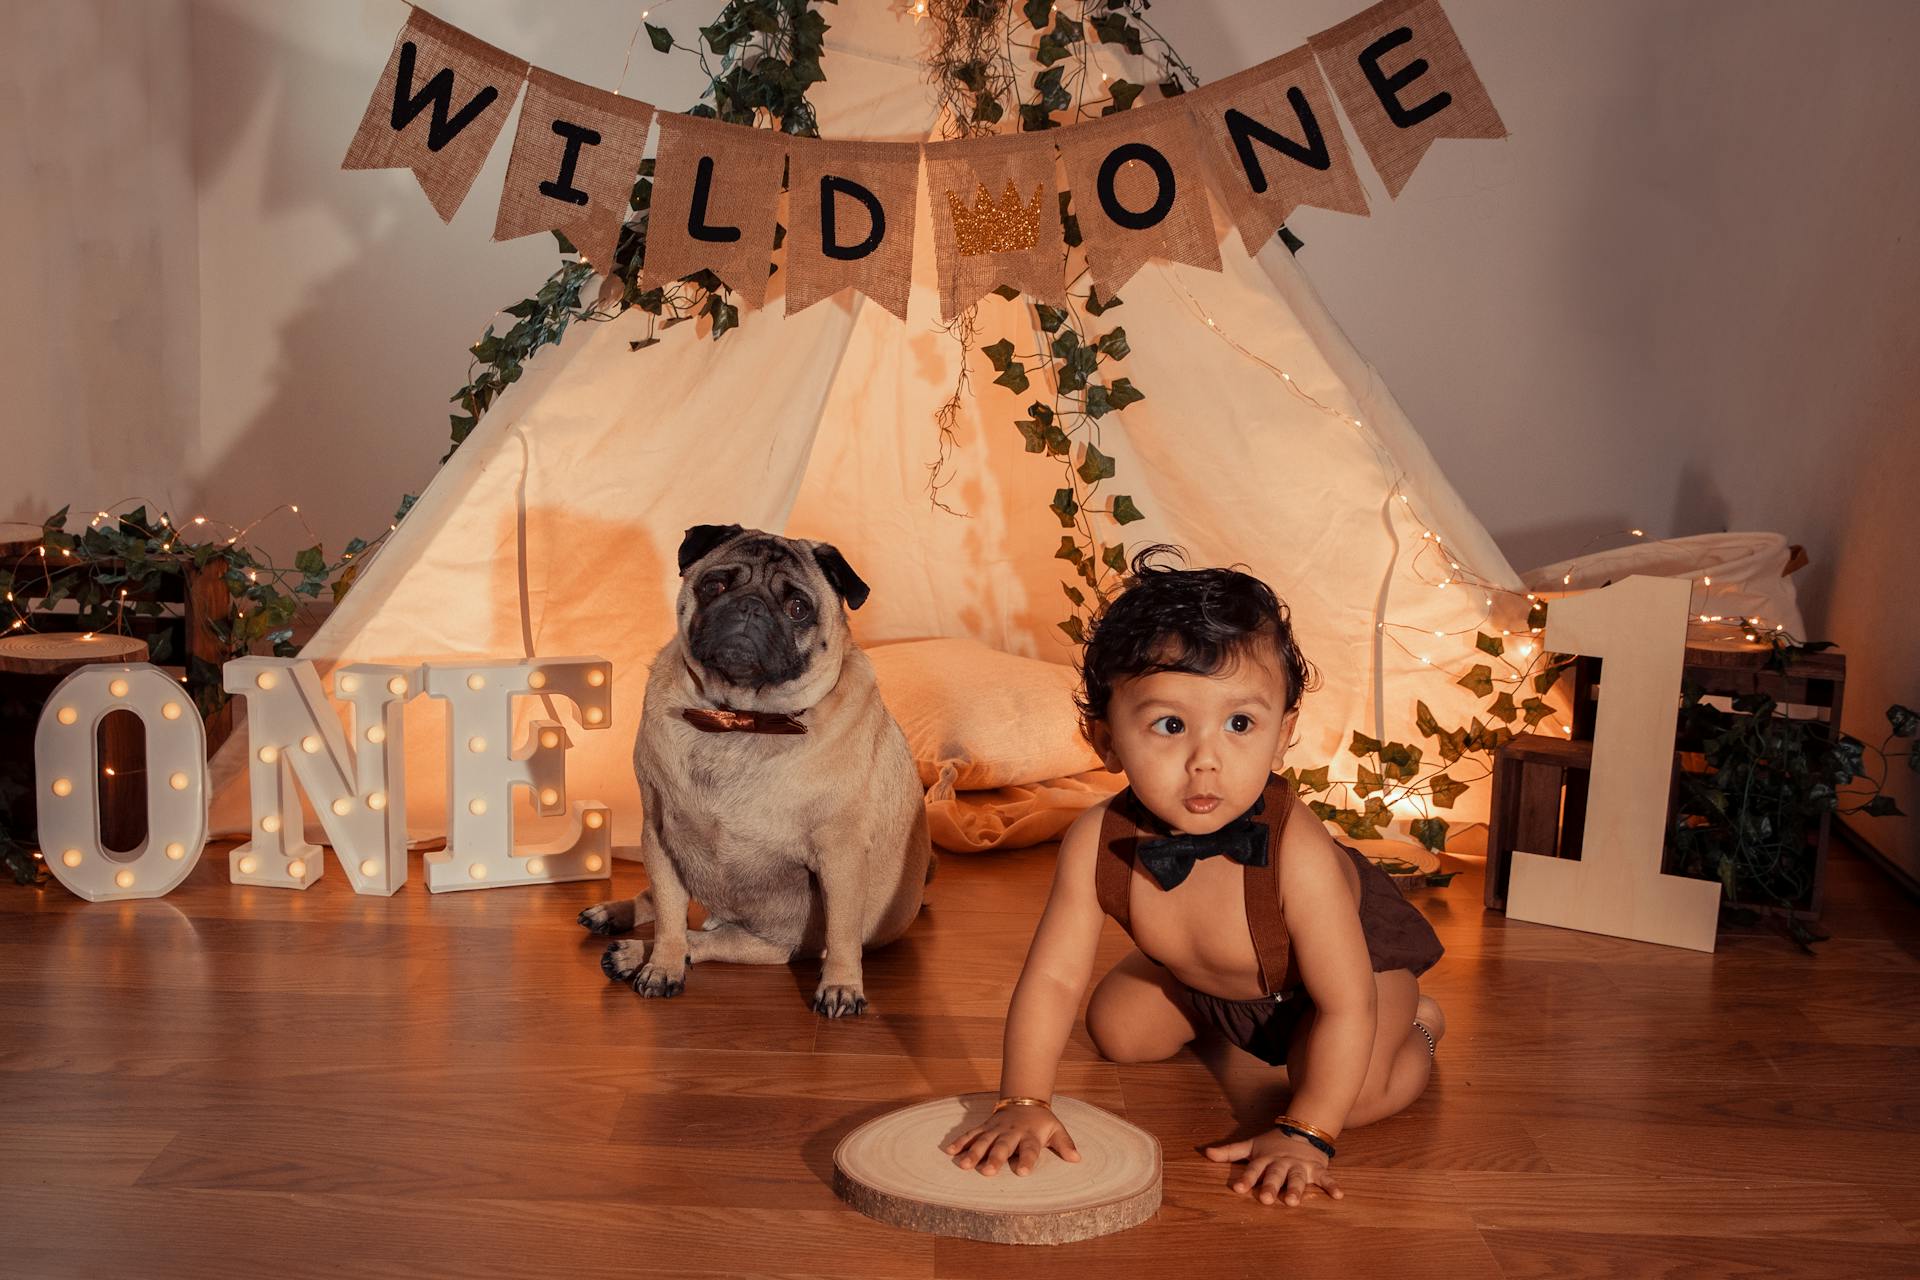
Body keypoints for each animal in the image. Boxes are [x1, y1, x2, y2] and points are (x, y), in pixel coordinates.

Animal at [579, 525, 933, 1013]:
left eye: (798, 607)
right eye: (714, 586)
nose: (750, 606)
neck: (741, 718)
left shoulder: (841, 855)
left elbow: (843, 930)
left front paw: (842, 985)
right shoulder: (659, 834)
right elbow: (668, 916)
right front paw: (662, 966)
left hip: (771, 943)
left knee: (704, 940)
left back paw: (630, 952)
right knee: (663, 906)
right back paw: (615, 920)